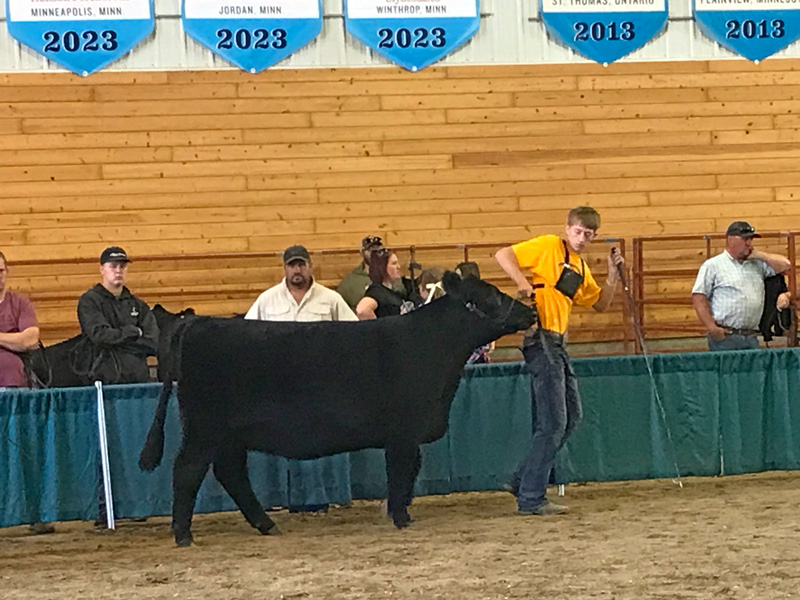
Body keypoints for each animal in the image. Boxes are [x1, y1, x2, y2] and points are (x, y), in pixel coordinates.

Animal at [139, 272, 537, 546]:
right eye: (490, 294)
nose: (531, 308)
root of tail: (196, 322)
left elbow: (409, 471)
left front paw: (399, 513)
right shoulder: (403, 432)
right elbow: (402, 471)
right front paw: (400, 516)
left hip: (229, 434)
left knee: (230, 473)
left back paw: (266, 524)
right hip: (205, 427)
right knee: (187, 470)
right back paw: (183, 534)